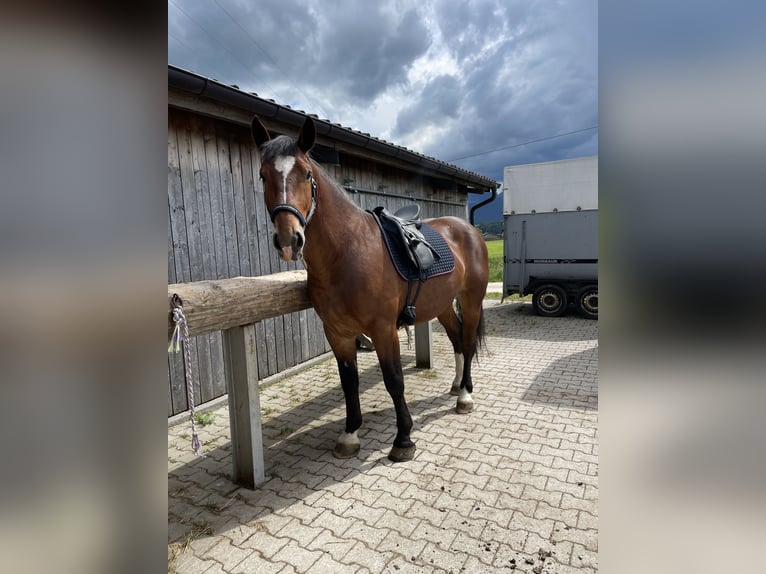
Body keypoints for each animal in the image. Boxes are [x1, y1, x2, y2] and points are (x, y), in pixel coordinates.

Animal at [254, 116, 492, 464]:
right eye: (263, 175)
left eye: (307, 174)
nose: (289, 240)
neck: (348, 252)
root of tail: (467, 229)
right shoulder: (337, 333)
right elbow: (348, 383)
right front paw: (350, 435)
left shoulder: (383, 329)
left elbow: (394, 381)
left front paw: (403, 439)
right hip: (443, 304)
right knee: (458, 338)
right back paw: (455, 385)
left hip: (471, 300)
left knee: (469, 340)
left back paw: (465, 396)